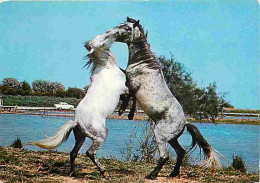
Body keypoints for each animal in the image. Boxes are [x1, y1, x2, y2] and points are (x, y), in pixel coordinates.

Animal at [102, 17, 222, 179]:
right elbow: (132, 98)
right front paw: (130, 114)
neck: (143, 64)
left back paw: (152, 175)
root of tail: (184, 123)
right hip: (172, 139)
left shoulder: (132, 83)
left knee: (164, 156)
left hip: (160, 136)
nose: (109, 32)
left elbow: (128, 94)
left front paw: (123, 111)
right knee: (180, 152)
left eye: (127, 28)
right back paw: (173, 173)